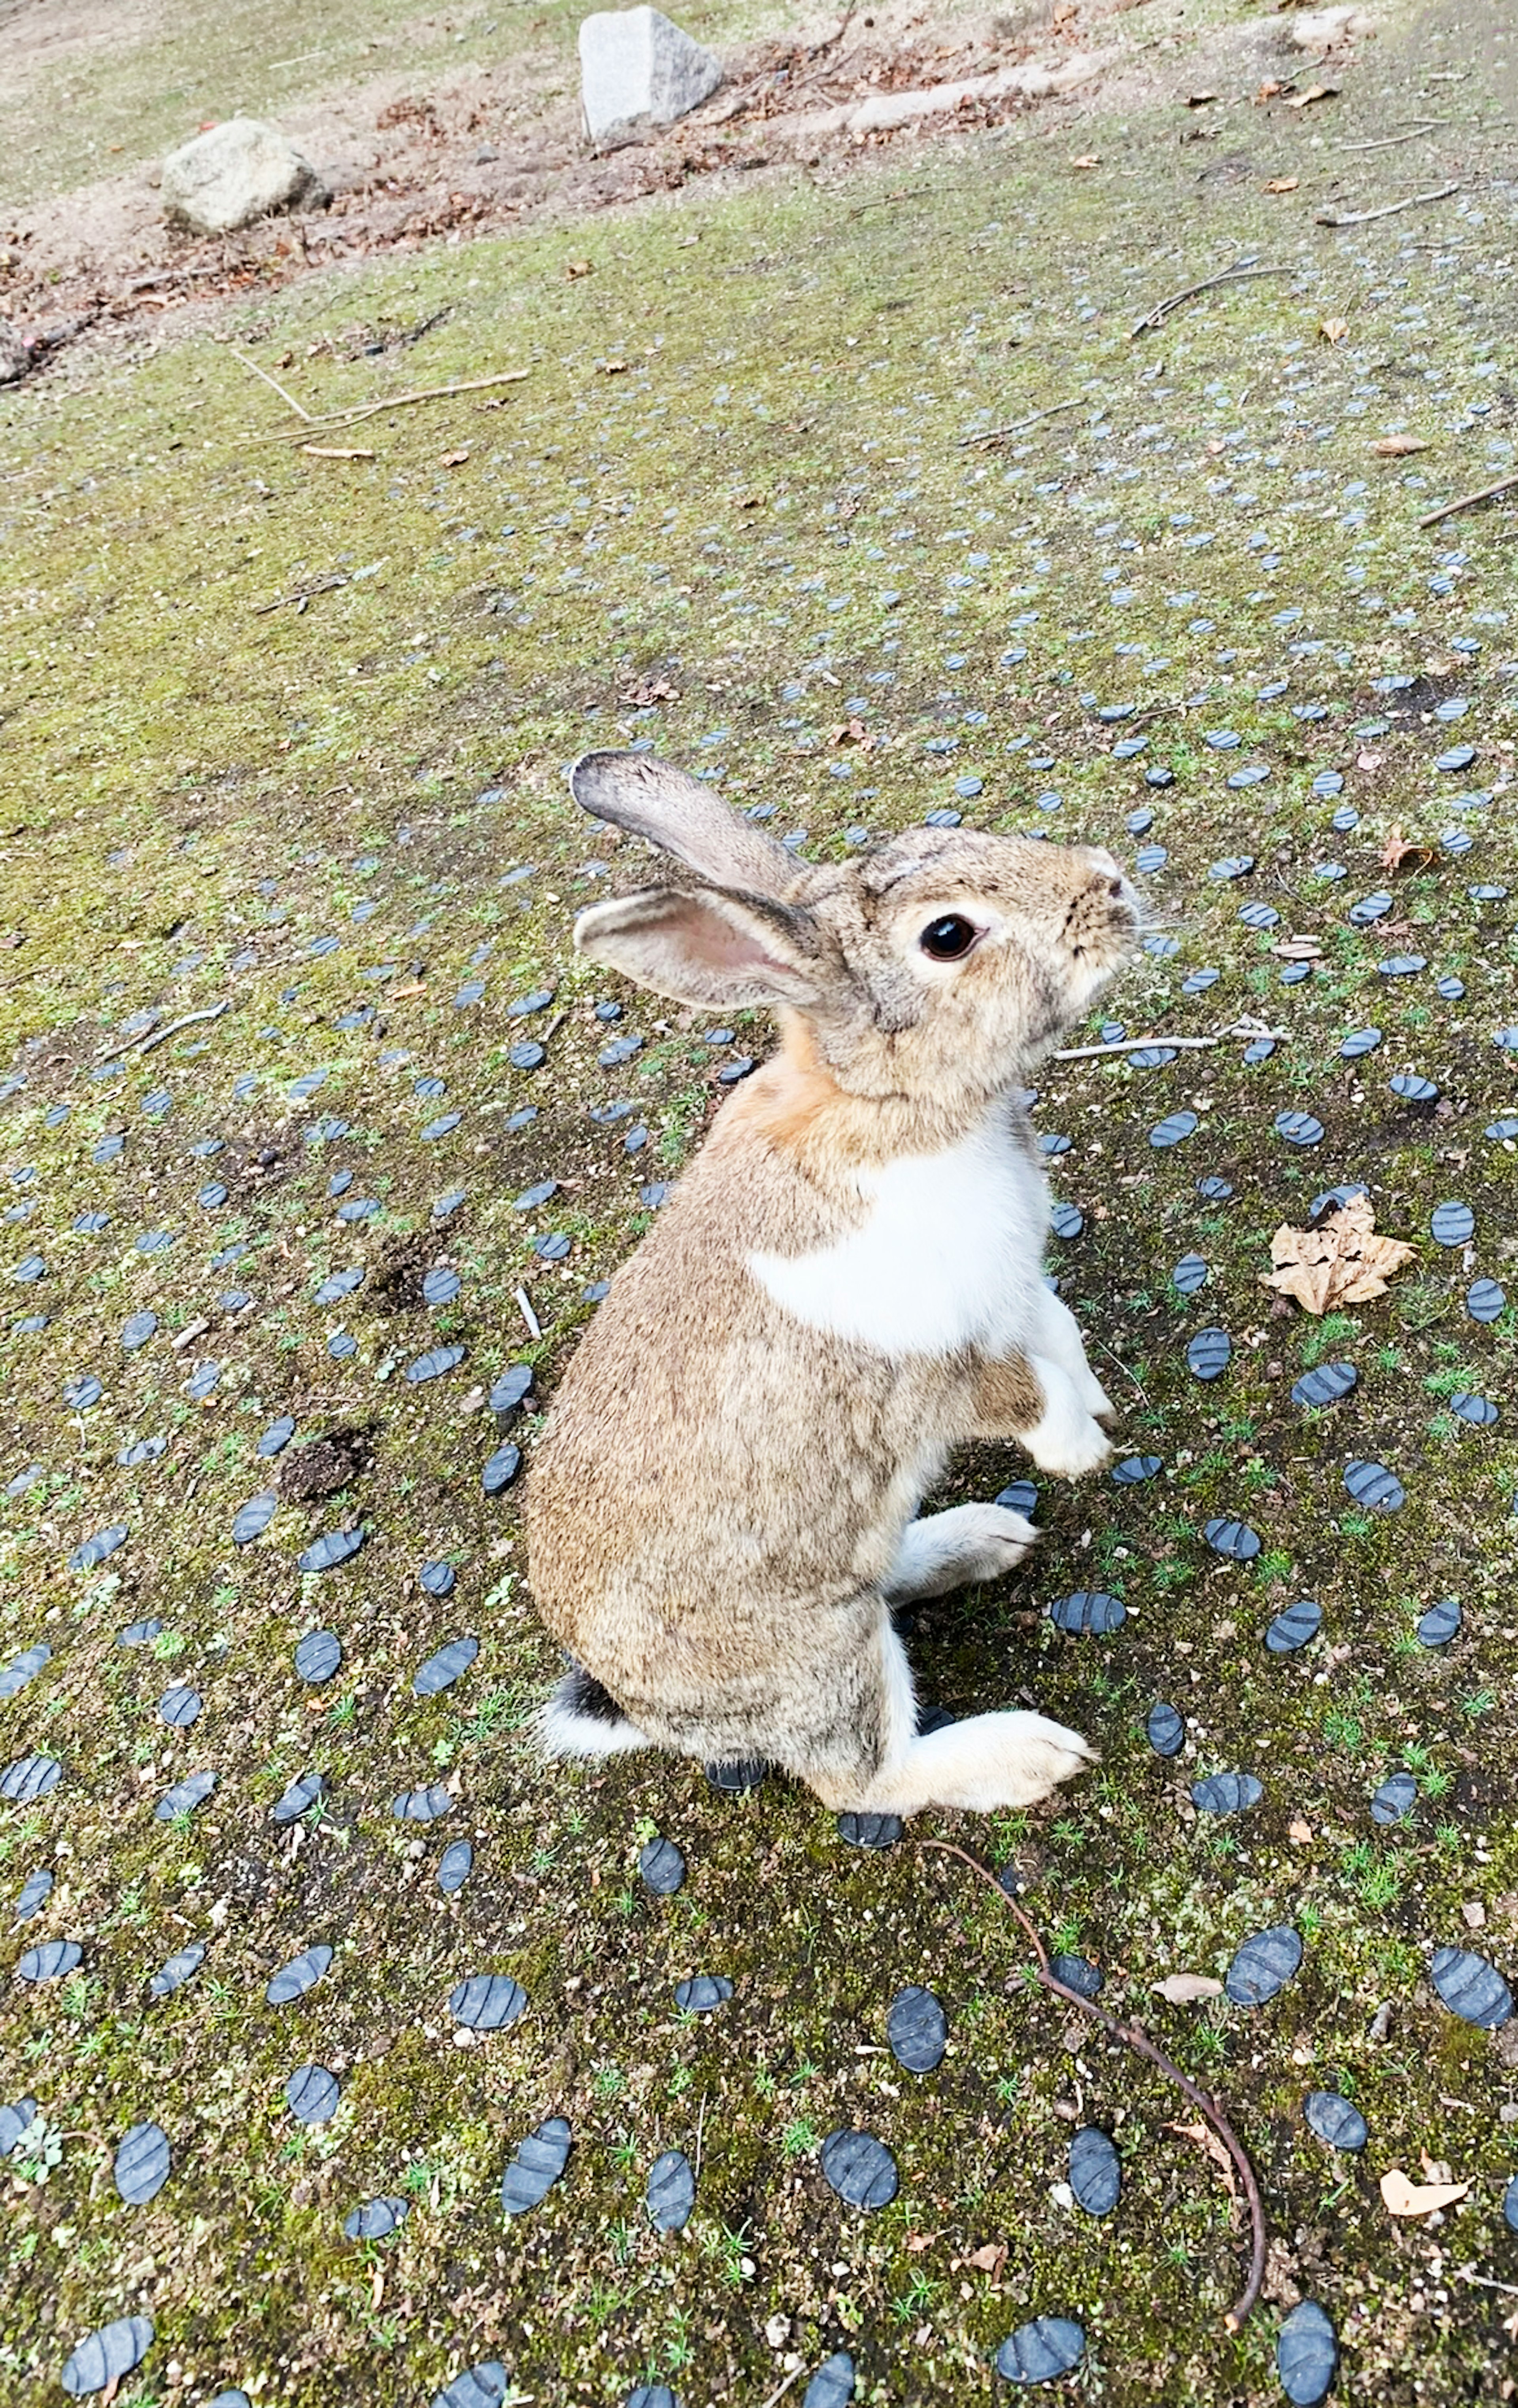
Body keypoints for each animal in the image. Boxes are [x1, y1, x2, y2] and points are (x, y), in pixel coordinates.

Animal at [522, 751, 1140, 1811]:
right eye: (947, 935)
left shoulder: (1020, 1292)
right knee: (867, 1778)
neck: (887, 1107)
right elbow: (1030, 1395)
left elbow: (1064, 1339)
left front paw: (1101, 1408)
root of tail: (631, 1703)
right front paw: (1081, 1454)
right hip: (816, 1653)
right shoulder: (940, 1367)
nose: (1109, 884)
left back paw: (983, 1539)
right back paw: (1024, 1753)